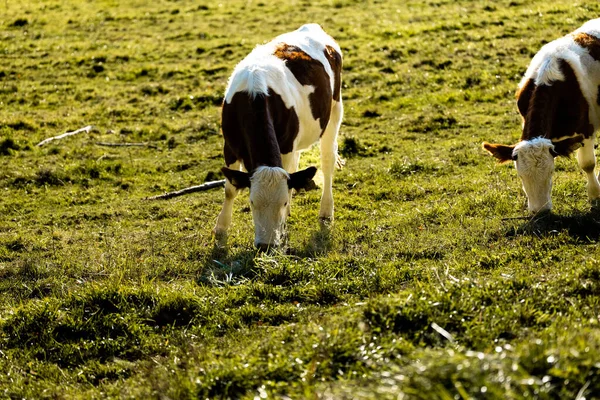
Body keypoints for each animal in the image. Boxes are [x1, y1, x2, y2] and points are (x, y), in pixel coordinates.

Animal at [212, 23, 342, 248]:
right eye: (252, 202)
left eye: (282, 202)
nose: (266, 245)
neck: (255, 93)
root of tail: (312, 27)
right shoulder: (229, 145)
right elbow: (230, 189)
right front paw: (221, 228)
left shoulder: (286, 146)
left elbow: (288, 181)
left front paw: (283, 226)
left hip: (334, 110)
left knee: (327, 162)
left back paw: (326, 210)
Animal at [482, 18, 600, 212]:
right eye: (520, 175)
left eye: (551, 172)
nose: (540, 211)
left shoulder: (586, 127)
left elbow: (588, 163)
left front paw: (595, 194)